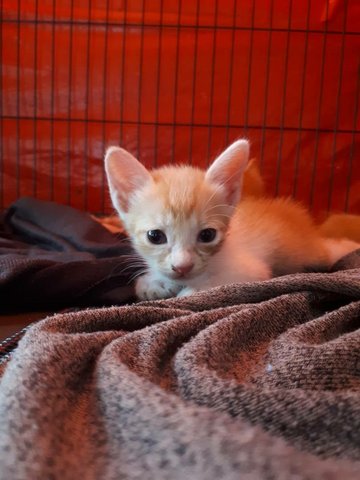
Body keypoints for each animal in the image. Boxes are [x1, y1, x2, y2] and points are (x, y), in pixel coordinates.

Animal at [103, 139, 358, 300]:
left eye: (207, 235)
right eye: (155, 236)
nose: (183, 267)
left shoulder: (252, 271)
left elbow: (224, 282)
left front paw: (193, 290)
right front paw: (153, 283)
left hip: (305, 252)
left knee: (330, 248)